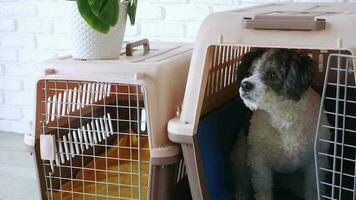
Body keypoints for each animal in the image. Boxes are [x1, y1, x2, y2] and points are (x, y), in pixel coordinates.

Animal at [232, 48, 330, 200]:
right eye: (249, 72)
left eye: (273, 74)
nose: (245, 85)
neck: (282, 113)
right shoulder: (259, 161)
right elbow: (263, 189)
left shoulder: (316, 161)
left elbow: (313, 188)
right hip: (240, 154)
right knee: (242, 177)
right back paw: (242, 192)